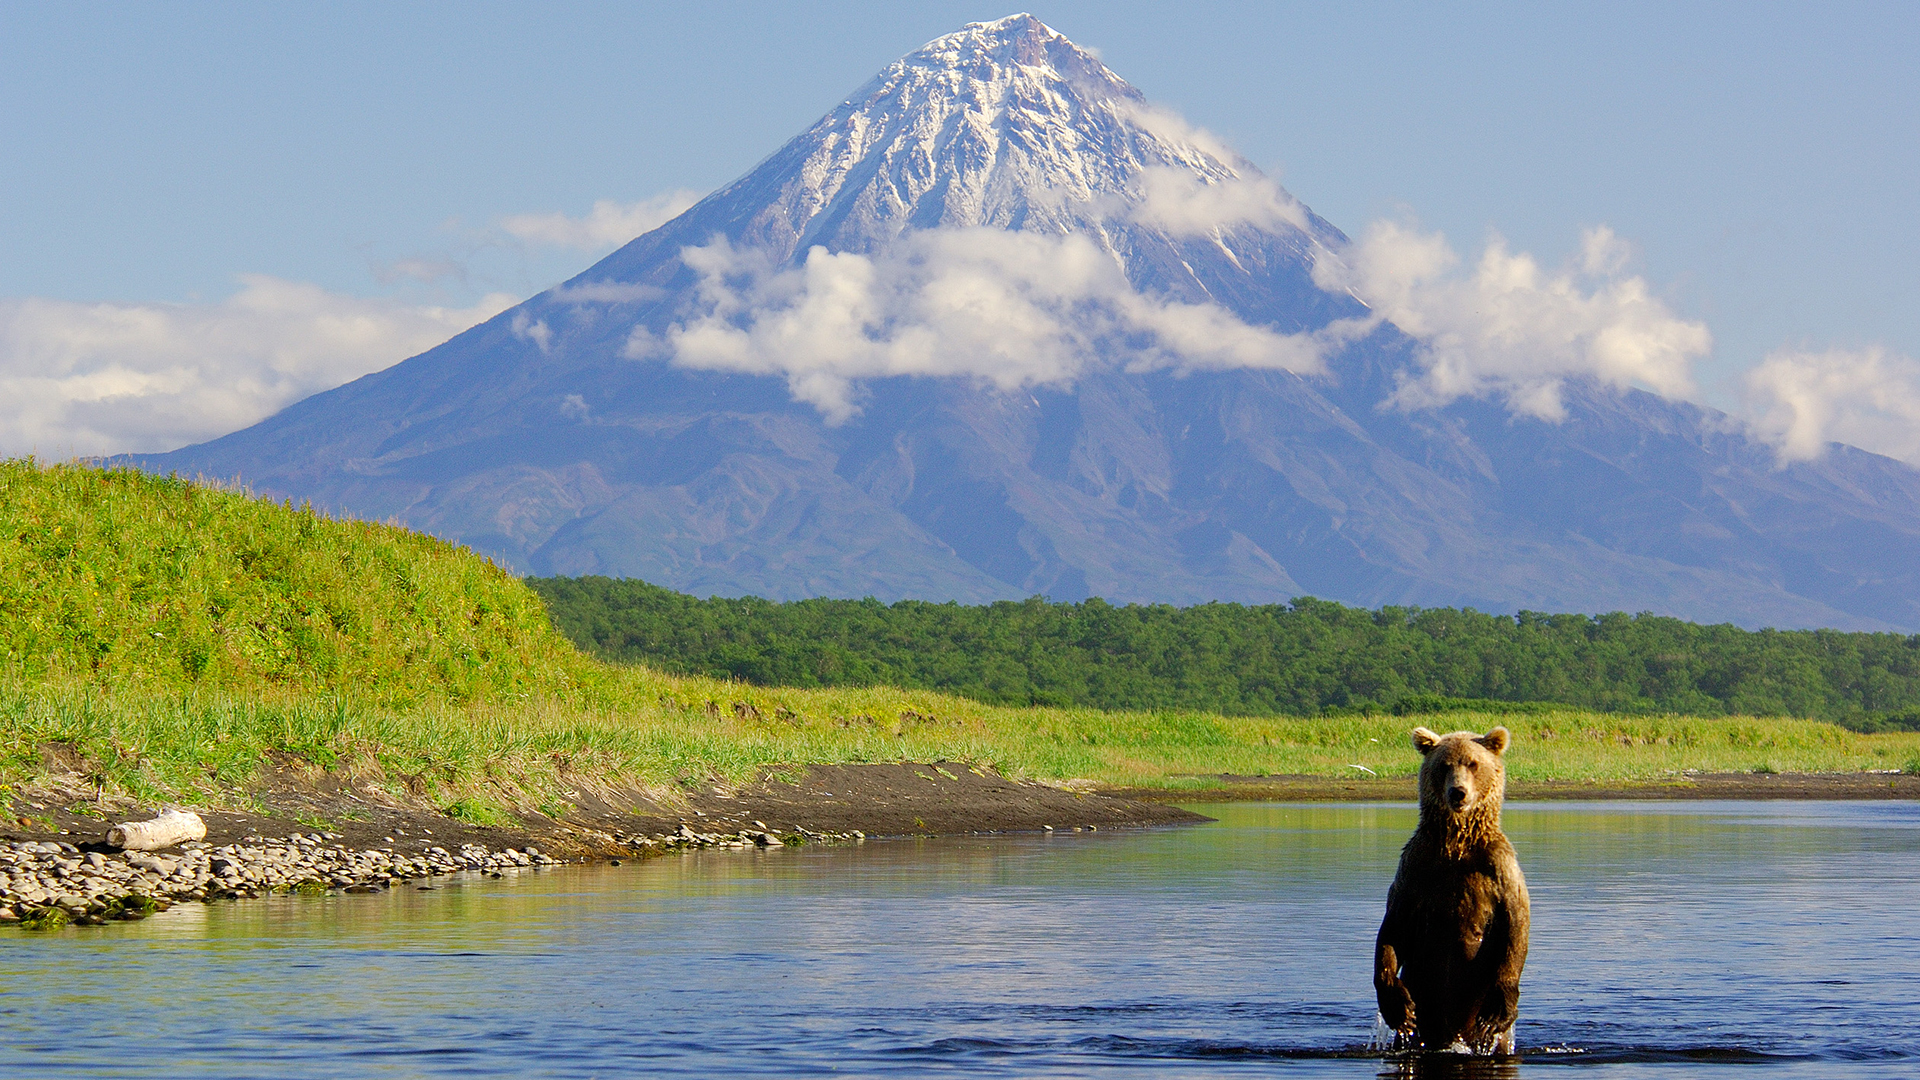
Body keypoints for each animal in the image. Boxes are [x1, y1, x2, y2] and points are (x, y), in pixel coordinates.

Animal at [1382, 722, 1528, 1053]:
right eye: (1444, 765)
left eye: (1473, 764)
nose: (1458, 792)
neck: (1457, 844)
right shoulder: (1416, 867)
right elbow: (1393, 927)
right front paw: (1397, 1006)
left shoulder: (1499, 868)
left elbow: (1515, 924)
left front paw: (1500, 1008)